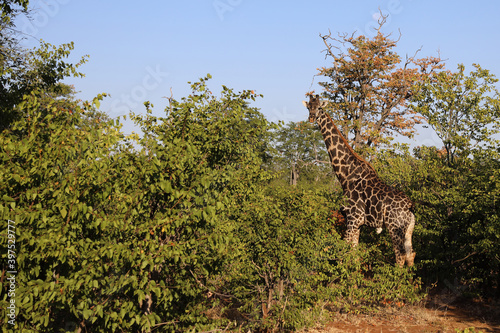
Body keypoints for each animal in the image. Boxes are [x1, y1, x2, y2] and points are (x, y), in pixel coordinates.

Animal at [302, 94, 416, 266]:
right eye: (309, 107)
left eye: (320, 107)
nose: (311, 118)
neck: (345, 175)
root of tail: (410, 206)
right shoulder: (357, 223)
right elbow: (354, 253)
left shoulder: (352, 218)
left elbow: (343, 250)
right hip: (407, 230)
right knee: (411, 255)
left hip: (394, 227)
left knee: (400, 255)